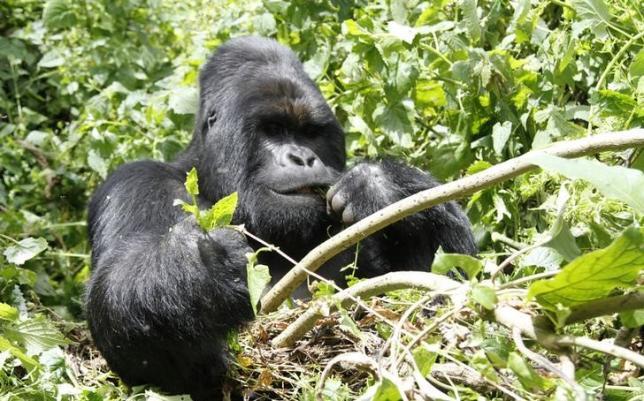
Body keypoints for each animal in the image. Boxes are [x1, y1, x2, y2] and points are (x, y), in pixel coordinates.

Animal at [85, 36, 476, 398]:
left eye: (310, 134)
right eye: (272, 130)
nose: (302, 157)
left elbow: (442, 293)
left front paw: (380, 185)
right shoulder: (134, 183)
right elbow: (130, 333)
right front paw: (200, 265)